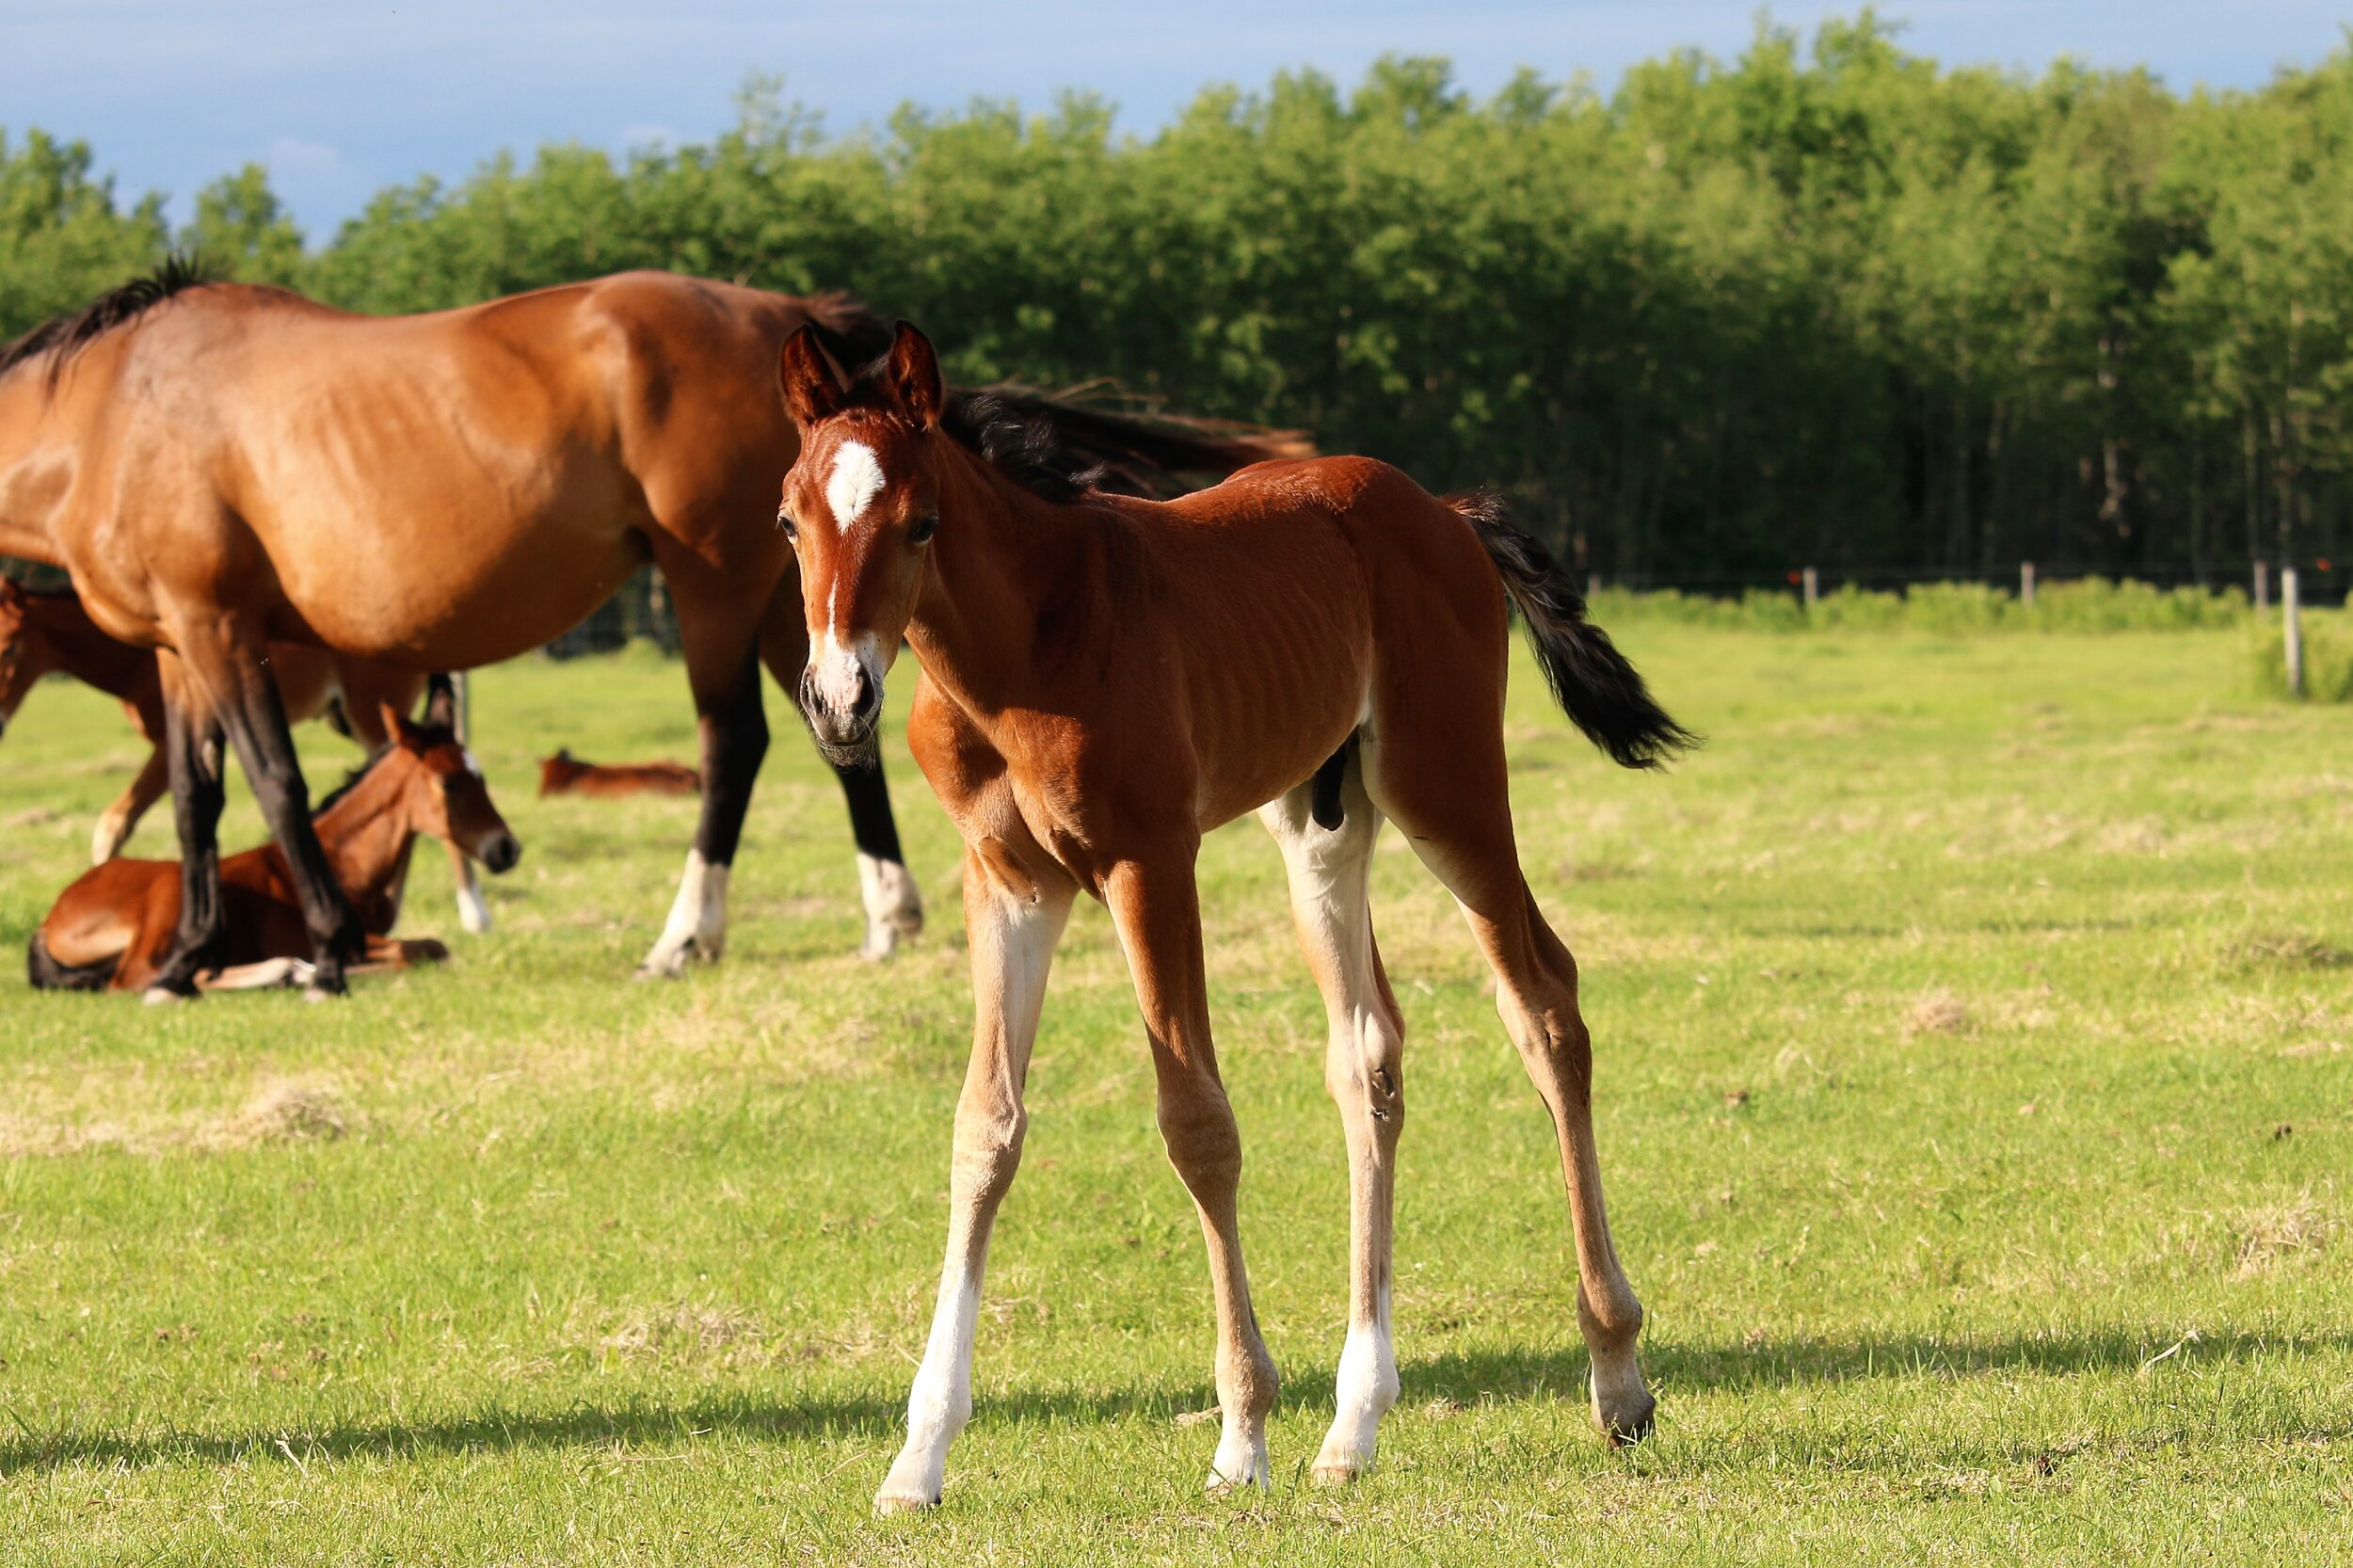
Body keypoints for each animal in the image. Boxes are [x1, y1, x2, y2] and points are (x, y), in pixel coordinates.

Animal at [0, 574, 496, 927]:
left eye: (7, 649)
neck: (137, 654)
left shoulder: (168, 746)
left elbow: (114, 824)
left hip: (371, 717)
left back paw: (473, 912)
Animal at [33, 682, 520, 988]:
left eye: (480, 776)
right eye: (449, 783)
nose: (506, 848)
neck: (345, 862)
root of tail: (51, 915)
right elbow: (422, 947)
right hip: (167, 900)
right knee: (136, 978)